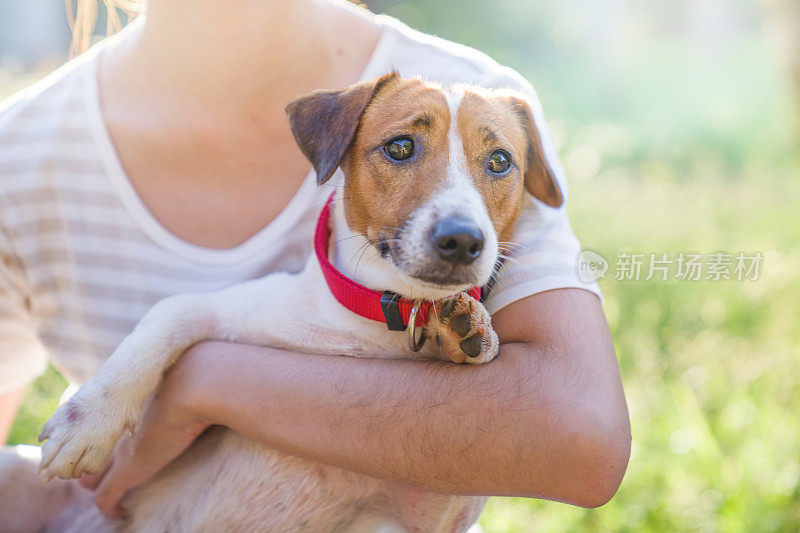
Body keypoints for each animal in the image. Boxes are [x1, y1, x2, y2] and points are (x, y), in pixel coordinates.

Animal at [7, 74, 564, 532]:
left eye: (500, 162)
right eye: (401, 146)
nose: (463, 240)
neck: (369, 326)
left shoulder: (425, 512)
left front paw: (465, 329)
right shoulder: (227, 310)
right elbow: (167, 317)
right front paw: (89, 421)